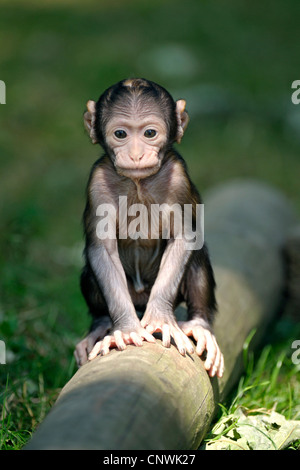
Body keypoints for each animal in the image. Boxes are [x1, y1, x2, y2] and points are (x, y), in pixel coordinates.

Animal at [75, 77, 224, 378]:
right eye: (121, 133)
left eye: (150, 133)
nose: (135, 155)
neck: (138, 182)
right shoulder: (97, 181)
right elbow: (102, 249)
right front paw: (125, 329)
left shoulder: (178, 177)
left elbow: (184, 239)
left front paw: (160, 318)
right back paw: (101, 325)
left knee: (197, 258)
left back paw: (199, 325)